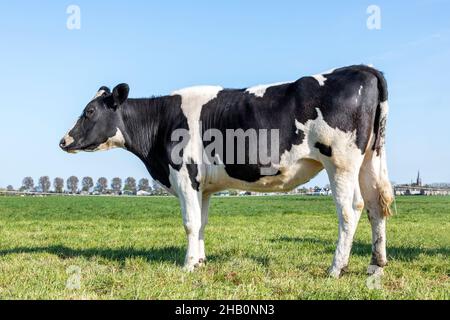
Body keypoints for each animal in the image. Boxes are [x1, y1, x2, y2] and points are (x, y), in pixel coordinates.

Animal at [60, 65, 394, 278]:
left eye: (89, 111)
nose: (63, 140)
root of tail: (362, 68)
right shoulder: (203, 186)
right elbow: (202, 223)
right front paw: (200, 262)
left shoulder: (184, 176)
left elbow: (190, 223)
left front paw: (188, 265)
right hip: (369, 158)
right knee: (375, 206)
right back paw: (376, 264)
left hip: (341, 161)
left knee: (351, 209)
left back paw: (337, 268)